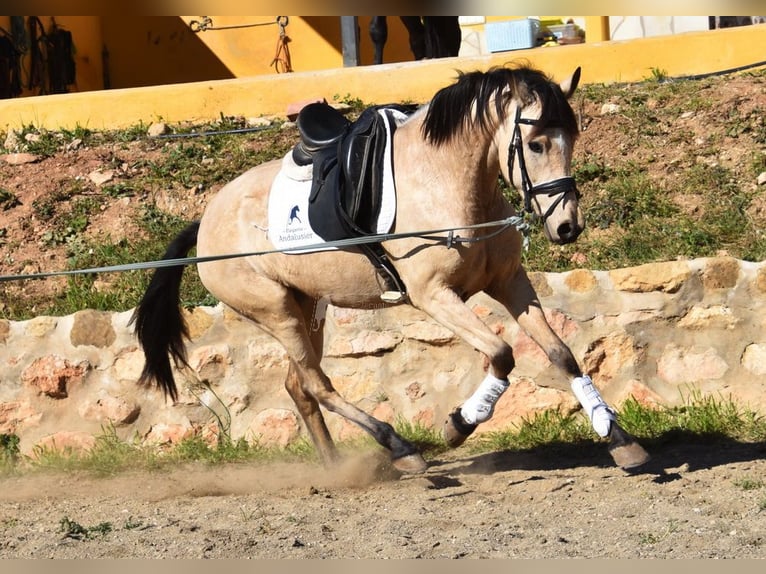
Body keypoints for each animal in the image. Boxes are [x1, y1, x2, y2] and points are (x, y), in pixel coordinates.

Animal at [130, 64, 648, 476]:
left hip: (307, 309)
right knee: (317, 384)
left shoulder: (509, 283)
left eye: (572, 138)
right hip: (275, 310)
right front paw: (459, 423)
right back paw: (399, 447)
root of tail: (205, 222)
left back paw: (336, 468)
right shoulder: (434, 295)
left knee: (299, 386)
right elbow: (501, 354)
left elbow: (563, 354)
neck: (447, 184)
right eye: (536, 144)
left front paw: (617, 437)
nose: (567, 227)